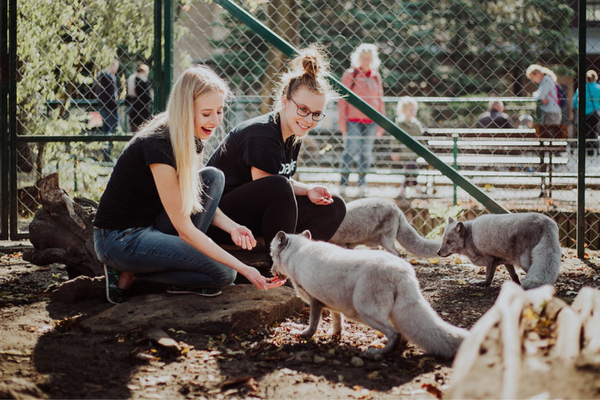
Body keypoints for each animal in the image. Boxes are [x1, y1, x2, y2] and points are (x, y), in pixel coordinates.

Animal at [270, 230, 468, 358]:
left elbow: (313, 324)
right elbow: (337, 322)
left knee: (394, 333)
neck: (297, 253)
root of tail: (402, 271)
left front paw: (304, 335)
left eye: (271, 255)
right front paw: (334, 335)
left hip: (366, 312)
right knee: (403, 333)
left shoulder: (314, 300)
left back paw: (379, 353)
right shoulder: (331, 303)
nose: (271, 271)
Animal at [436, 214, 564, 290]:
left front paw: (481, 283)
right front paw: (516, 285)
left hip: (525, 263)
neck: (470, 236)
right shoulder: (507, 261)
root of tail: (545, 222)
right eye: (443, 240)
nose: (438, 253)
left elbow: (488, 277)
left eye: (449, 241)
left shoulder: (490, 258)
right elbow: (514, 275)